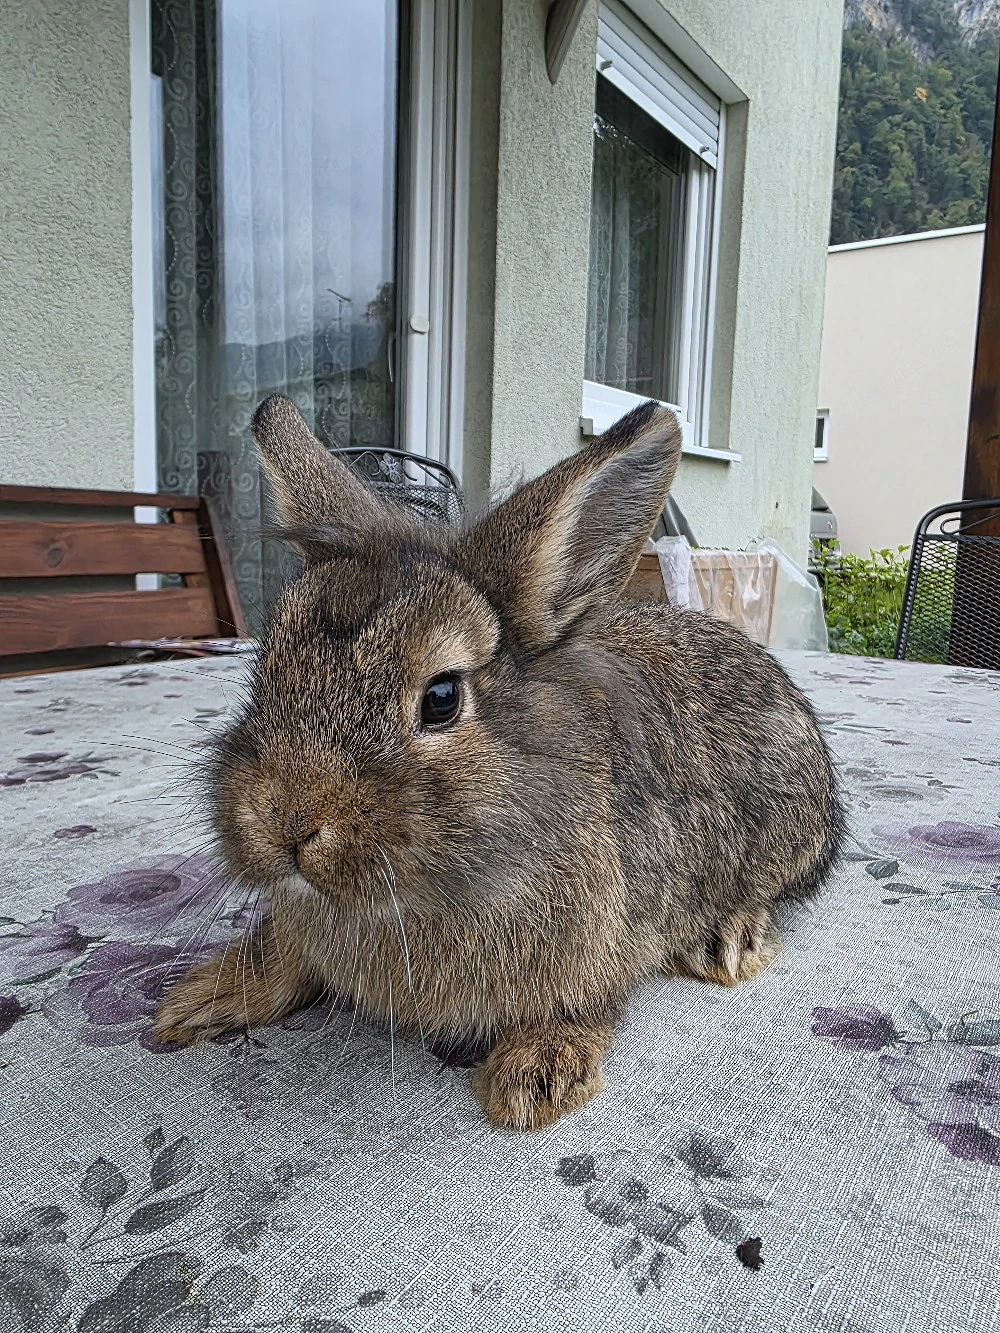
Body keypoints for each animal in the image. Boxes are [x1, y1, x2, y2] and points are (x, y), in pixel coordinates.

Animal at [154, 394, 845, 1130]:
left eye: (441, 698)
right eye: (265, 674)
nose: (283, 822)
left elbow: (586, 1002)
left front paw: (536, 1076)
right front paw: (199, 999)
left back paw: (727, 938)